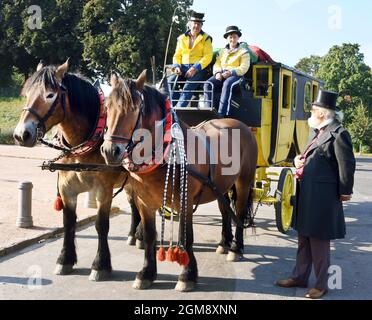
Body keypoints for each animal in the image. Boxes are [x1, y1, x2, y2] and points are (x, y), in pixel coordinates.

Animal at [13, 59, 142, 280]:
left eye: (50, 95)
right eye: (27, 94)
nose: (22, 134)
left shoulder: (103, 191)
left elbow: (101, 225)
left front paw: (100, 265)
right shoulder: (67, 190)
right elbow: (68, 222)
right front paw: (65, 259)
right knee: (134, 206)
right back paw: (134, 234)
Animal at [101, 71, 258, 292]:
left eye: (134, 109)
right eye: (107, 106)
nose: (110, 151)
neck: (167, 150)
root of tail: (239, 124)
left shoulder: (185, 200)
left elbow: (186, 237)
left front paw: (187, 275)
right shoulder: (144, 201)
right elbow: (150, 236)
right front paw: (146, 273)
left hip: (244, 181)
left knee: (241, 211)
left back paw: (236, 248)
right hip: (221, 185)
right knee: (225, 210)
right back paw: (224, 242)